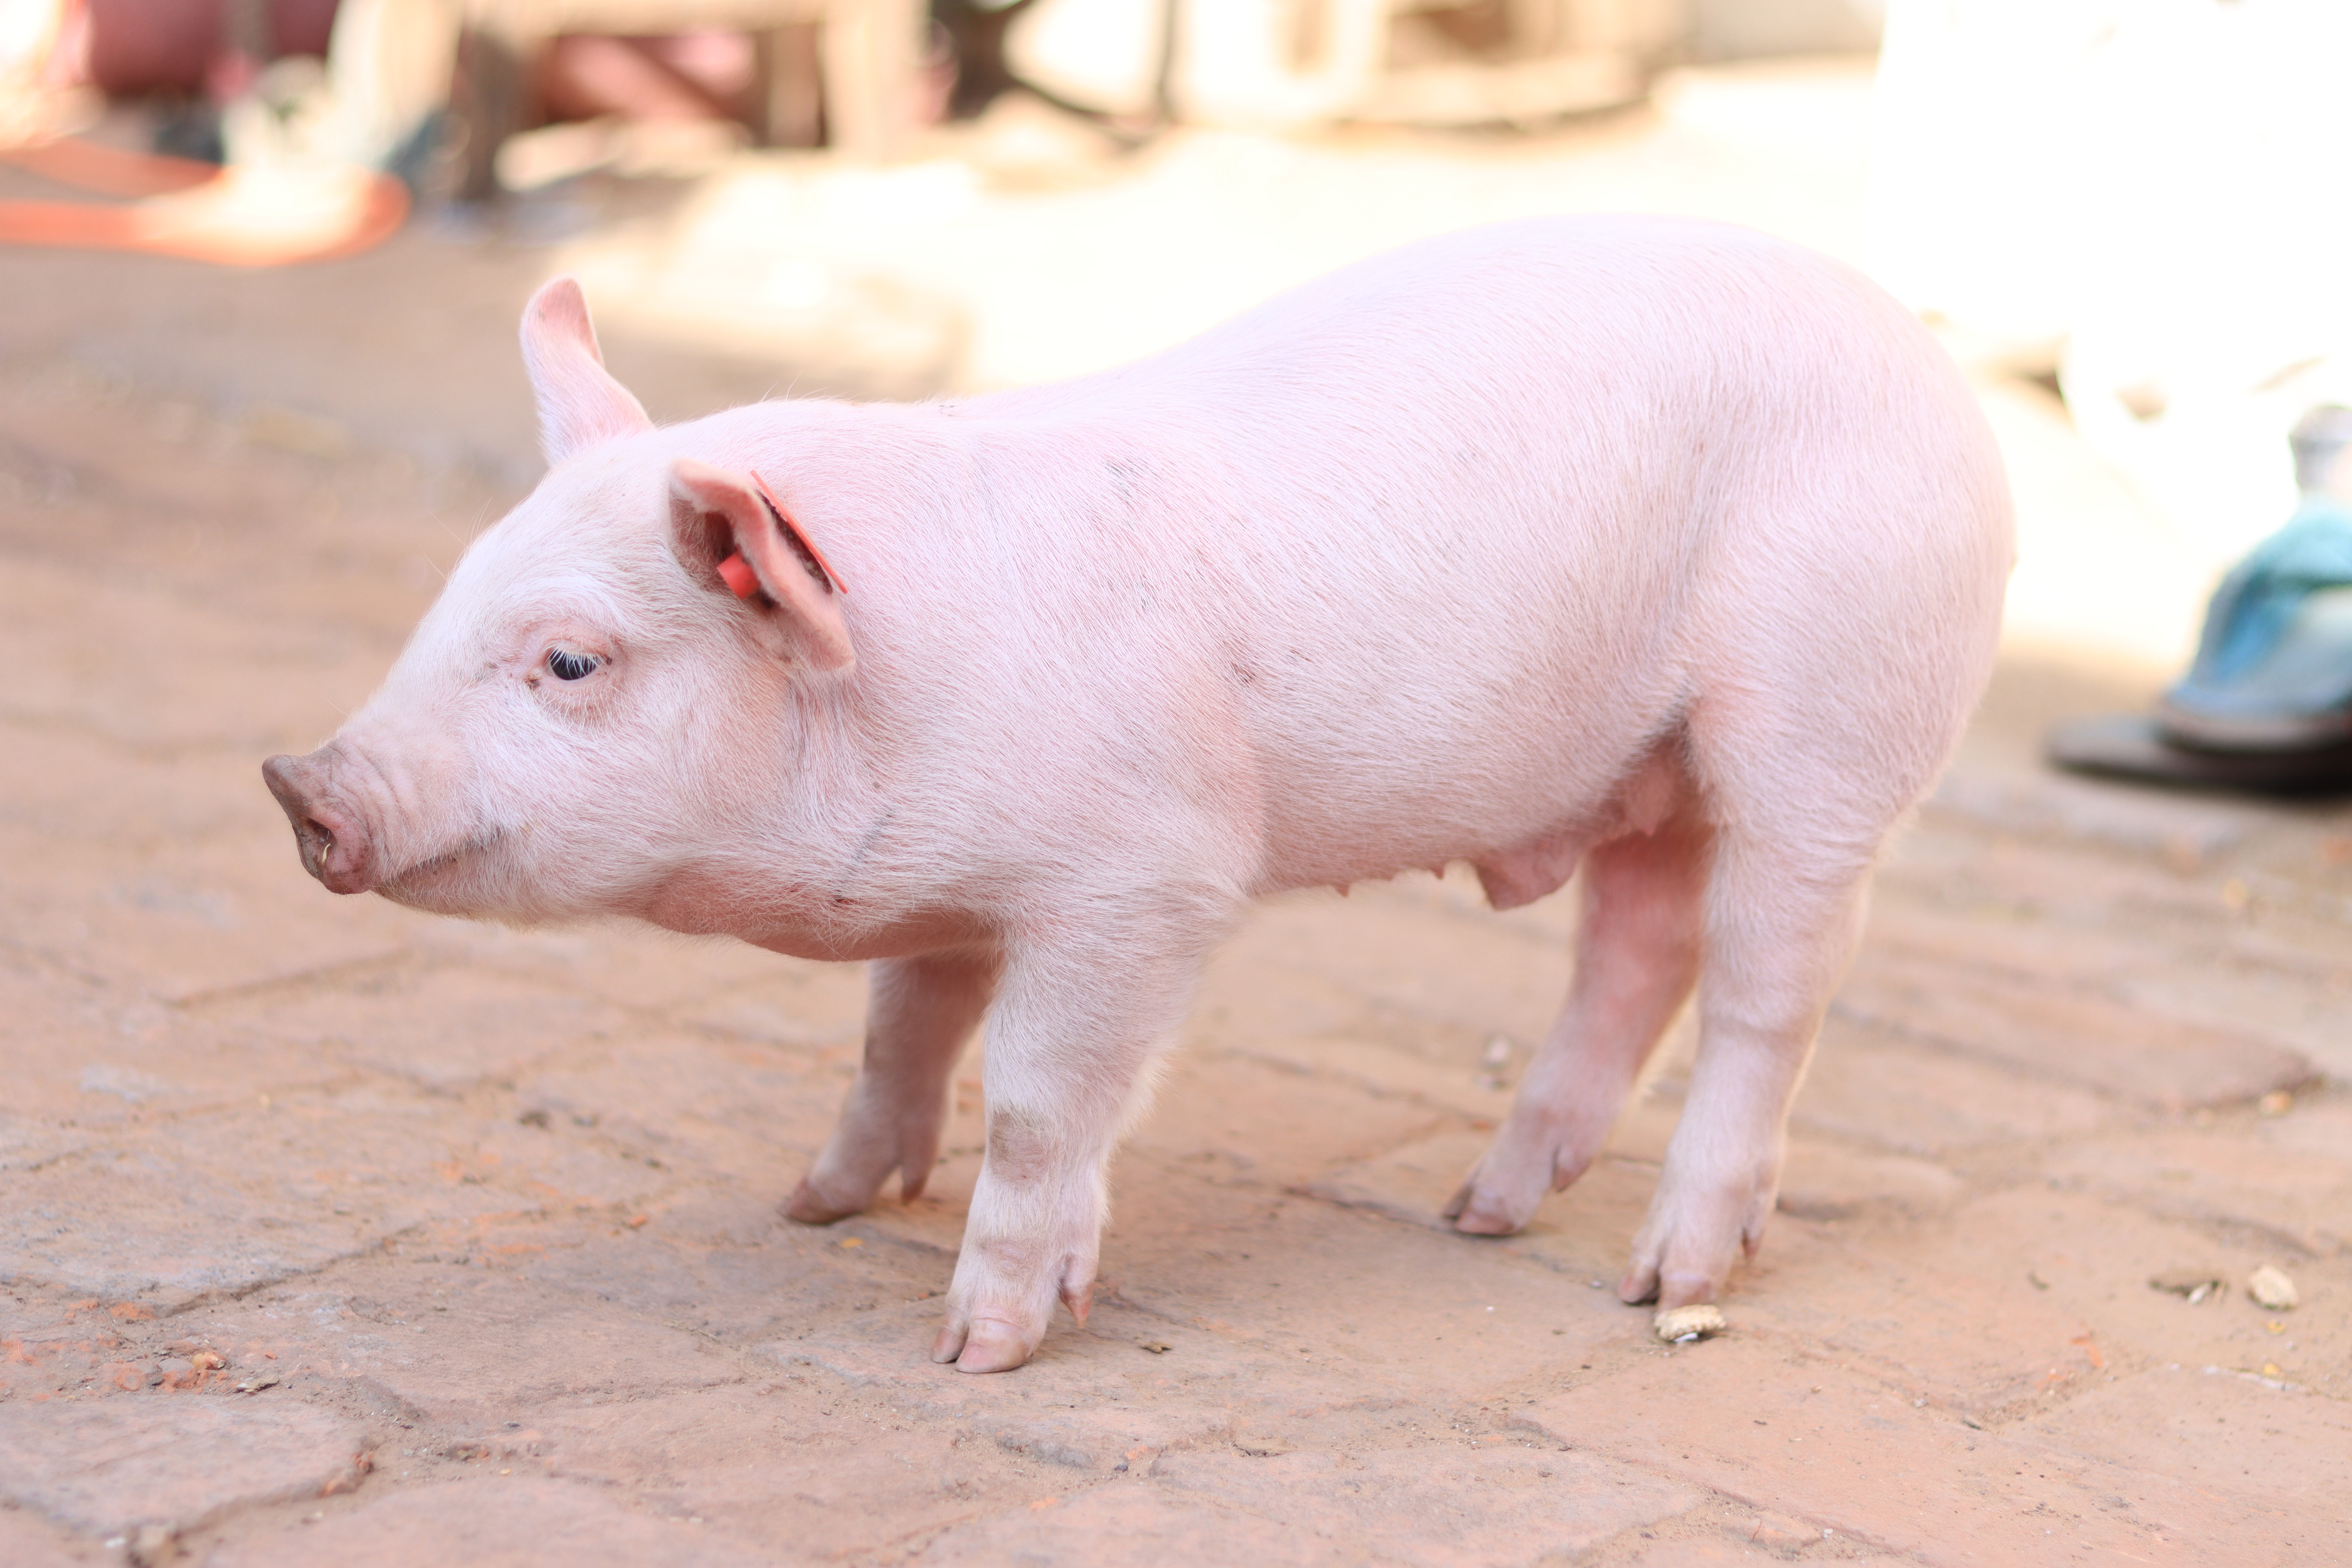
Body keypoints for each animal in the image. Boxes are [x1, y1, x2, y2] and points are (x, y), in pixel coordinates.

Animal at [262, 215, 2011, 1373]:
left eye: (572, 661)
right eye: (452, 593)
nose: (299, 782)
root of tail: (1918, 346)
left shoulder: (1150, 877)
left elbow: (1041, 1100)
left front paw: (977, 1349)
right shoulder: (957, 888)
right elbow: (902, 1030)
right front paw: (817, 1204)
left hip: (1827, 721)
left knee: (1772, 985)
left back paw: (1664, 1283)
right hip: (1641, 763)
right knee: (1636, 948)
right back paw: (1479, 1213)